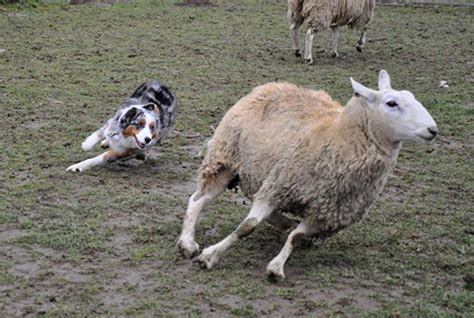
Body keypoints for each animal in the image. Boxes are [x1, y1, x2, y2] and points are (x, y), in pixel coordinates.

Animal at [177, 71, 436, 280]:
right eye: (392, 103)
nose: (433, 130)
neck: (338, 137)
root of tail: (272, 86)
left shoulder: (324, 211)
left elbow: (296, 236)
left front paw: (277, 267)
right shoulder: (278, 187)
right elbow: (246, 227)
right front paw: (209, 256)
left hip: (260, 170)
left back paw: (283, 222)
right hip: (225, 160)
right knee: (197, 200)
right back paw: (187, 243)